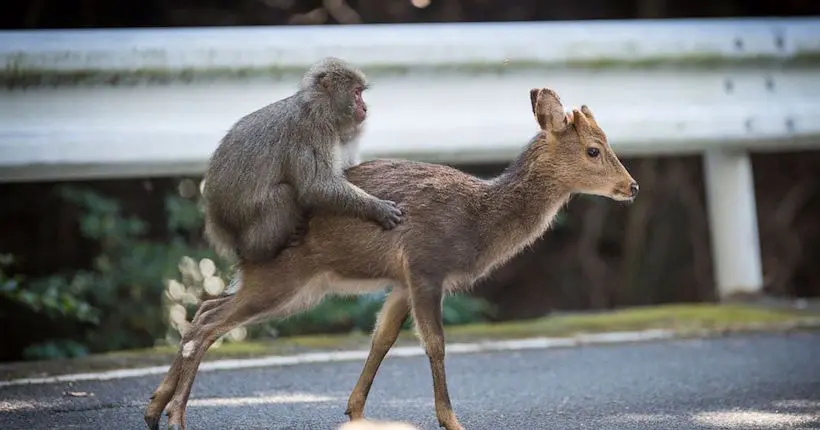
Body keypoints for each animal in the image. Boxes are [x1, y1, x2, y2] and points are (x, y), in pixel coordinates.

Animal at [144, 85, 636, 428]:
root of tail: (239, 240)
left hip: (292, 286)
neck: (478, 221)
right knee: (207, 324)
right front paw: (451, 420)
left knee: (204, 308)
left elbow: (381, 339)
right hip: (283, 278)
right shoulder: (425, 265)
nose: (631, 186)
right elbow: (434, 342)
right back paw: (175, 416)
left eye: (607, 142)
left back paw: (154, 408)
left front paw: (356, 411)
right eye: (594, 149)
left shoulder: (400, 281)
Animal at [200, 55, 402, 268]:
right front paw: (377, 208)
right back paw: (261, 251)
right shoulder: (312, 132)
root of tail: (218, 224)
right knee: (283, 194)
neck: (319, 108)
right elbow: (317, 186)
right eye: (356, 93)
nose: (364, 108)